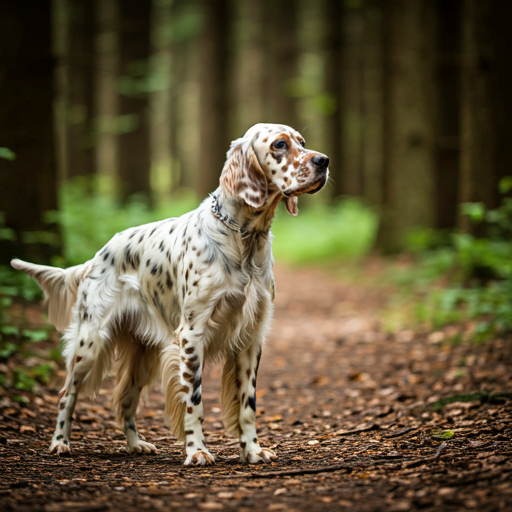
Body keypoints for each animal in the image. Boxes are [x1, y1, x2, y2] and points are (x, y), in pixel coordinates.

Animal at [14, 123, 330, 464]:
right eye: (280, 145)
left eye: (302, 142)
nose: (324, 161)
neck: (243, 238)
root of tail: (97, 256)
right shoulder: (192, 334)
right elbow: (194, 402)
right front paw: (197, 451)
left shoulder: (251, 337)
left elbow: (248, 404)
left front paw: (253, 450)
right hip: (90, 343)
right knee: (67, 395)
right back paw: (60, 442)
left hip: (144, 356)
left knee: (125, 398)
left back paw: (136, 444)